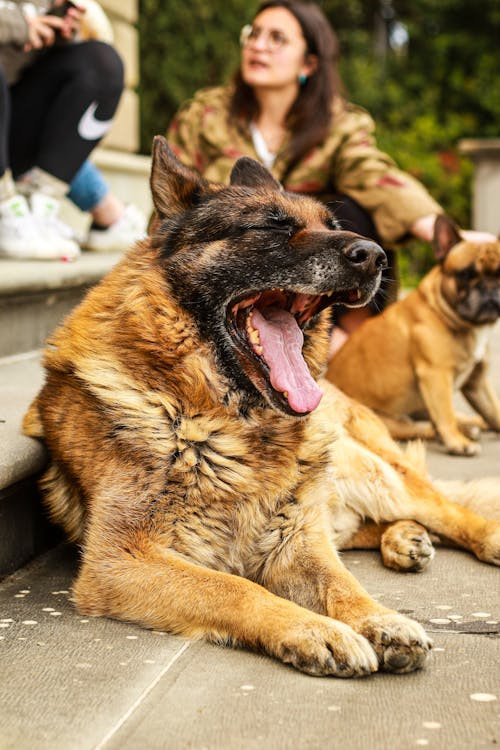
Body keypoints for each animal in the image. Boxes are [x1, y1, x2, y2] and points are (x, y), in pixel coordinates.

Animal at [328, 214, 500, 456]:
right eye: (466, 275)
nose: (491, 288)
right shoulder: (436, 375)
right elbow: (445, 414)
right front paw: (458, 442)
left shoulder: (477, 380)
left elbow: (493, 409)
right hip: (390, 421)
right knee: (424, 427)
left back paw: (472, 423)